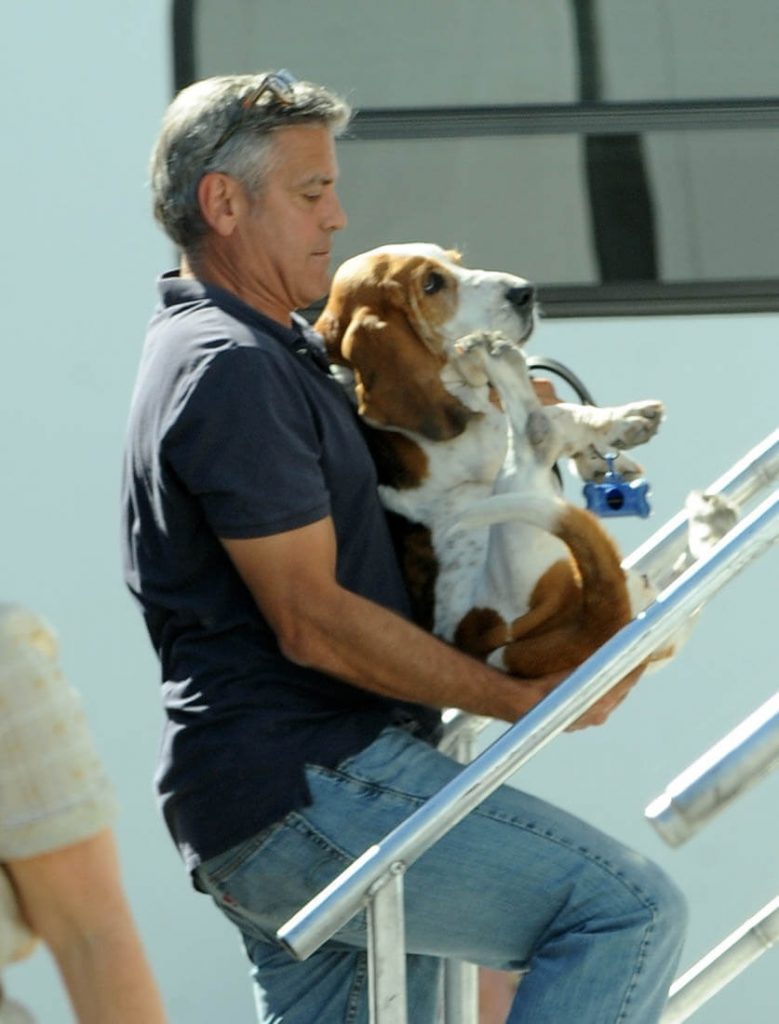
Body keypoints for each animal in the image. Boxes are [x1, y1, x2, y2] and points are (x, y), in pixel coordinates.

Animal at [315, 243, 733, 680]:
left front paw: (603, 457)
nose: (525, 292)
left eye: (458, 262)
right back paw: (503, 360)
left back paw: (714, 520)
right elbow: (558, 413)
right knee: (536, 431)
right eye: (431, 283)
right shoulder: (485, 438)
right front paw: (618, 422)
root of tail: (588, 625)